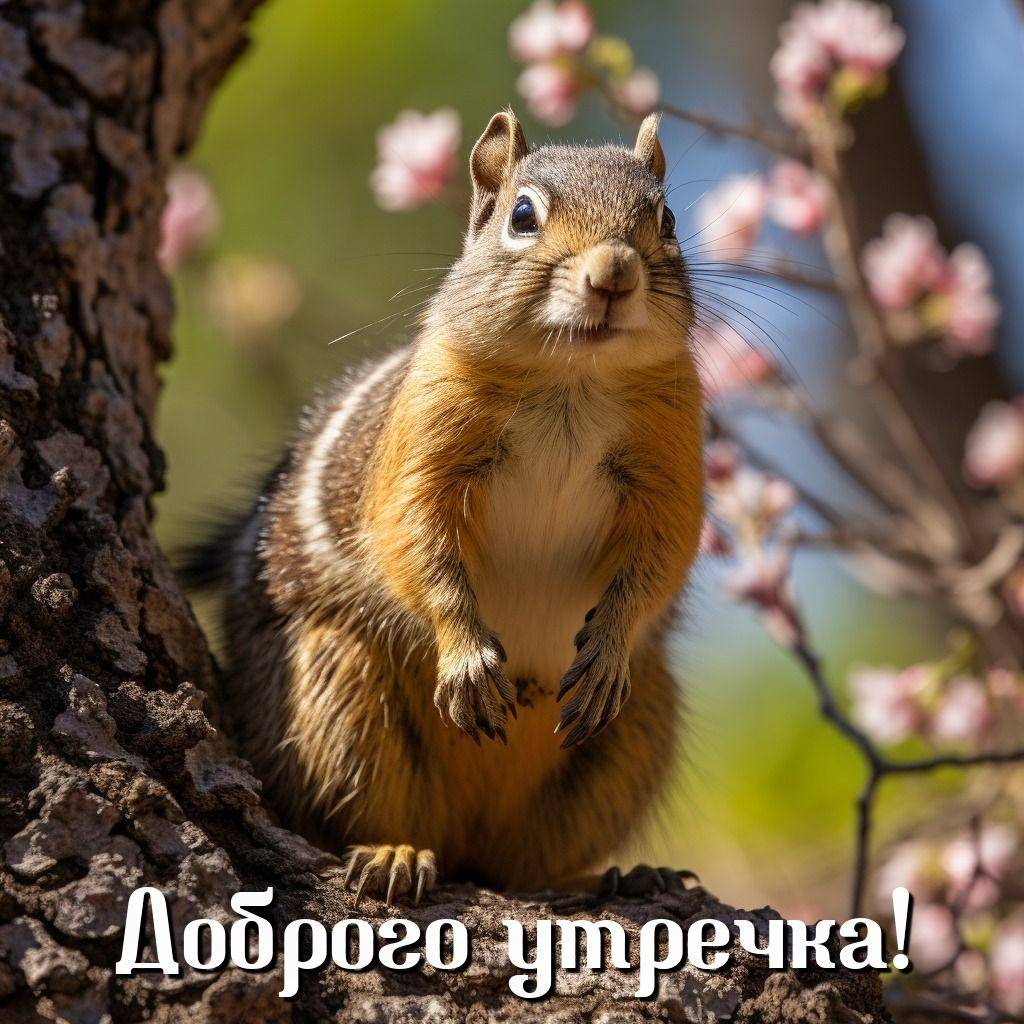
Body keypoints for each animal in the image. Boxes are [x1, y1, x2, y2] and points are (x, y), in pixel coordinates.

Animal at [185, 110, 704, 905]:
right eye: (522, 216)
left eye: (666, 219)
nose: (615, 272)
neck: (573, 379)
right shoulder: (426, 439)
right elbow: (416, 540)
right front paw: (464, 658)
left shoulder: (671, 456)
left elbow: (662, 558)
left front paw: (610, 644)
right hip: (337, 689)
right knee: (363, 809)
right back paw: (394, 853)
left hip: (637, 727)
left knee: (525, 865)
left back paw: (611, 876)